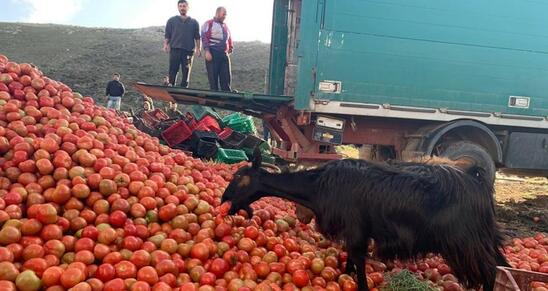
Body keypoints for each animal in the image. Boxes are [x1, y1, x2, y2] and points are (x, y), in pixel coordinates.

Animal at [222, 154, 510, 290]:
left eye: (239, 177)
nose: (224, 202)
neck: (318, 186)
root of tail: (478, 181)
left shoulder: (356, 230)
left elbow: (359, 265)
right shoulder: (355, 233)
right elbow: (350, 262)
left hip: (467, 242)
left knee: (491, 272)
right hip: (483, 239)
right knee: (501, 268)